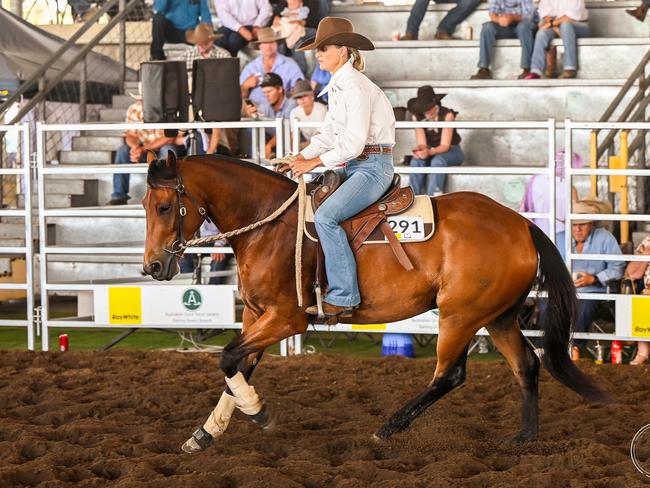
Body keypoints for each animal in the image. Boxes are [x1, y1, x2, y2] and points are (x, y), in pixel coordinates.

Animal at [143, 152, 608, 454]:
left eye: (165, 206)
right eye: (145, 205)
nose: (153, 266)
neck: (269, 225)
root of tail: (522, 225)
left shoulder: (287, 319)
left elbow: (227, 357)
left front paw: (258, 412)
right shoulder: (257, 316)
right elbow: (238, 365)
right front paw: (206, 433)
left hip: (460, 315)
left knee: (449, 375)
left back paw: (388, 428)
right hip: (499, 316)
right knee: (526, 365)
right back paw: (523, 439)